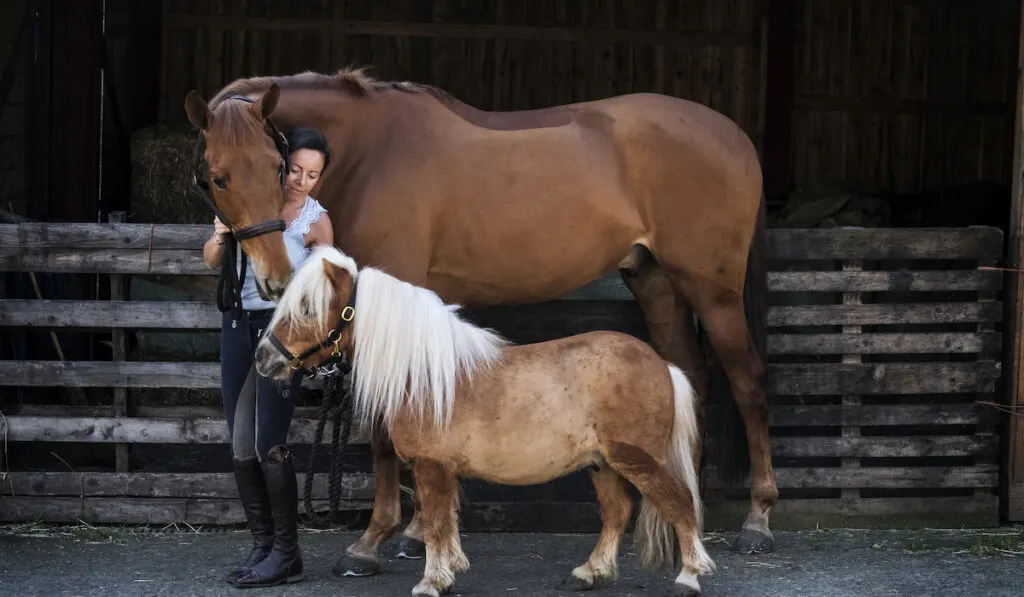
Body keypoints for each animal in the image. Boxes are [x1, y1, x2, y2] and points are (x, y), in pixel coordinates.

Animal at [252, 245, 716, 593]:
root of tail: (662, 365)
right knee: (617, 512)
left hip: (637, 460)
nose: (263, 358)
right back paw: (589, 573)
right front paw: (449, 571)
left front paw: (431, 582)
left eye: (308, 307)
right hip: (601, 464)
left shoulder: (430, 465)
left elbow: (435, 522)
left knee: (680, 503)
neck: (425, 373)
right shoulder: (440, 469)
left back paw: (689, 577)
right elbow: (445, 521)